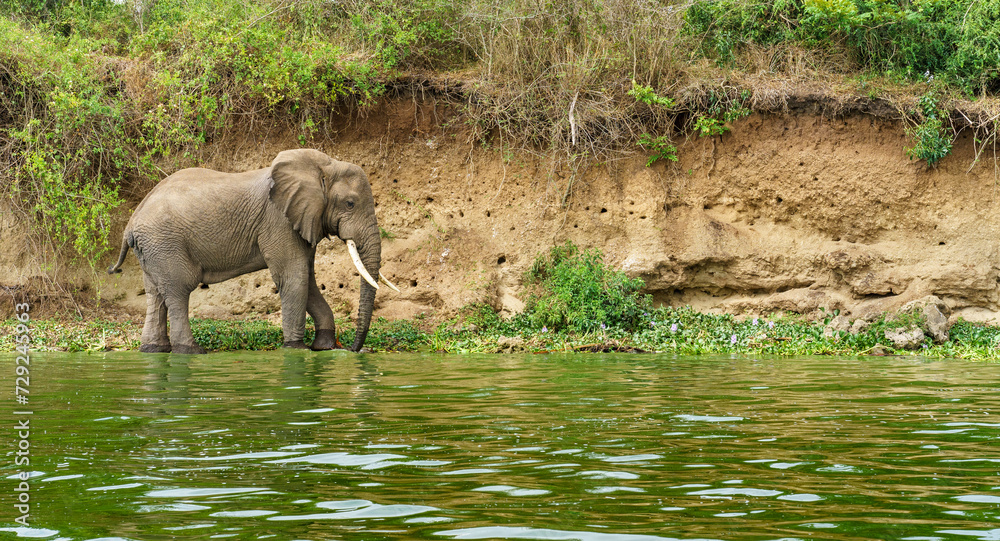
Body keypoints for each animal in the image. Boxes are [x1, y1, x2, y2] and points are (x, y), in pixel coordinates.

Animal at [107, 149, 398, 354]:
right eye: (350, 203)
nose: (352, 349)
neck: (323, 165)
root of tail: (131, 223)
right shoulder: (278, 220)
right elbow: (294, 277)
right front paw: (296, 348)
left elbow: (308, 278)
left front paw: (323, 346)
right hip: (165, 243)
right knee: (179, 290)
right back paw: (192, 351)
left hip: (153, 248)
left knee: (155, 294)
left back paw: (153, 349)